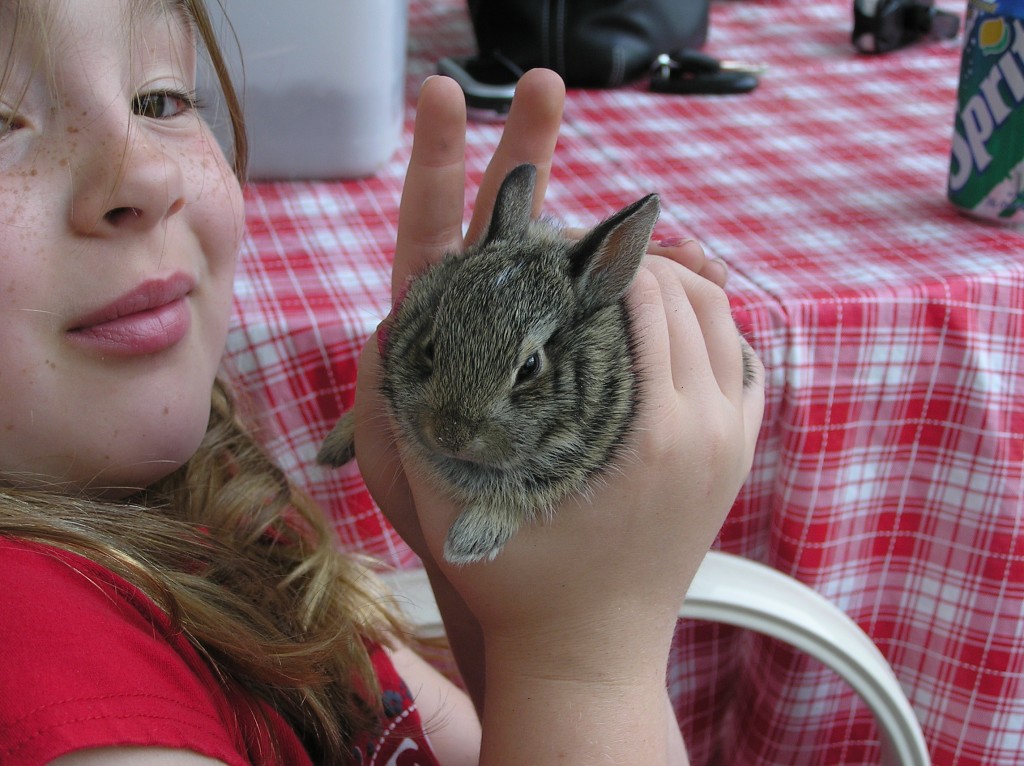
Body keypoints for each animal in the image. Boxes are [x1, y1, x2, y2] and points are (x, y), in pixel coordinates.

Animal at [319, 162, 659, 561]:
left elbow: (524, 498)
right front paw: (333, 445)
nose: (449, 436)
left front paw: (466, 542)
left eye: (530, 366)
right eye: (431, 346)